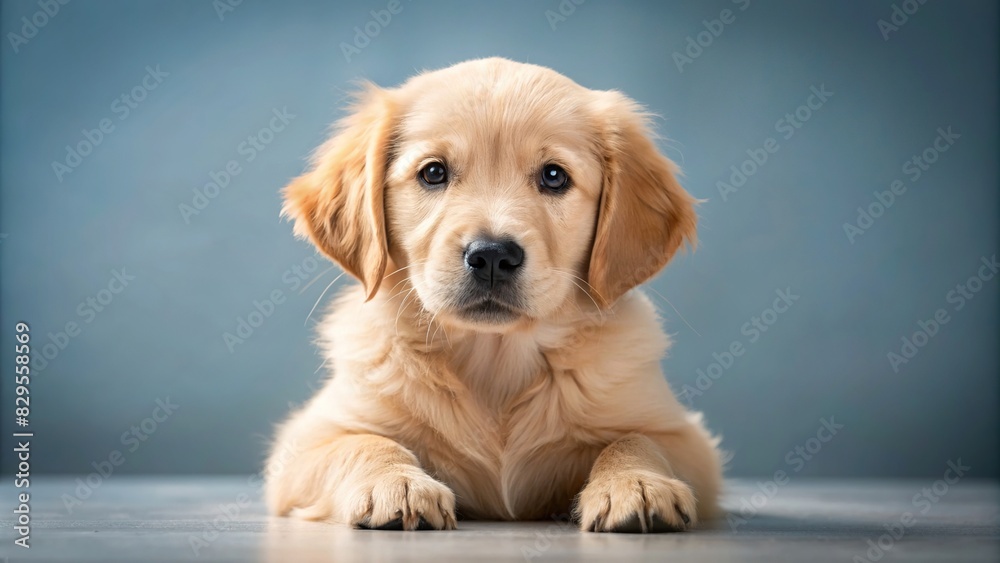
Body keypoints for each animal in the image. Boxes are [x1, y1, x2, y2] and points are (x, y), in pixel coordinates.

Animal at [266, 57, 720, 532]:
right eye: (433, 172)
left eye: (554, 176)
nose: (491, 256)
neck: (495, 359)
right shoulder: (305, 443)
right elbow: (364, 442)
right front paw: (396, 484)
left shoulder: (686, 439)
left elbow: (636, 439)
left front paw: (637, 483)